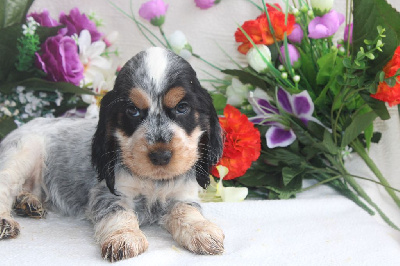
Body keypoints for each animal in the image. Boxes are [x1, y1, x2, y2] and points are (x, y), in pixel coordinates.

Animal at [0, 46, 225, 260]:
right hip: (22, 153)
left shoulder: (183, 194)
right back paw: (6, 220)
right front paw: (124, 238)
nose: (161, 156)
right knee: (6, 187)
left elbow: (187, 210)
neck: (154, 182)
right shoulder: (109, 193)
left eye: (182, 107)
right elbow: (119, 213)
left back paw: (28, 202)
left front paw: (202, 231)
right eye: (132, 110)